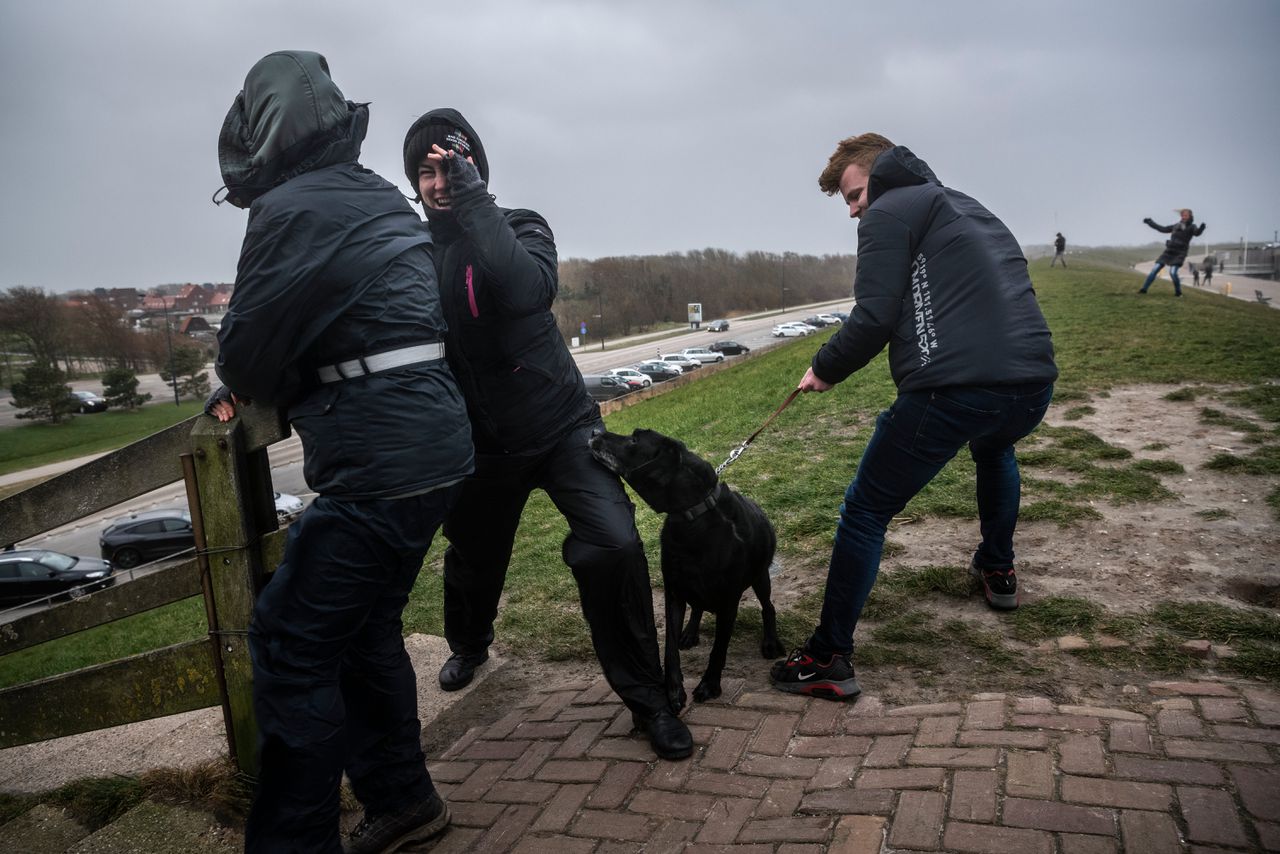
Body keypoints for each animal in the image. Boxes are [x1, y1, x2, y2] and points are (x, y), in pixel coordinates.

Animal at [586, 425, 783, 706]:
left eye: (634, 439)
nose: (594, 431)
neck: (692, 518)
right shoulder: (674, 592)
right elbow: (669, 646)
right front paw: (673, 690)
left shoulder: (728, 602)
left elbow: (718, 648)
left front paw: (709, 684)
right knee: (698, 607)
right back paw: (690, 632)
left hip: (760, 577)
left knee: (768, 606)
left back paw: (770, 642)